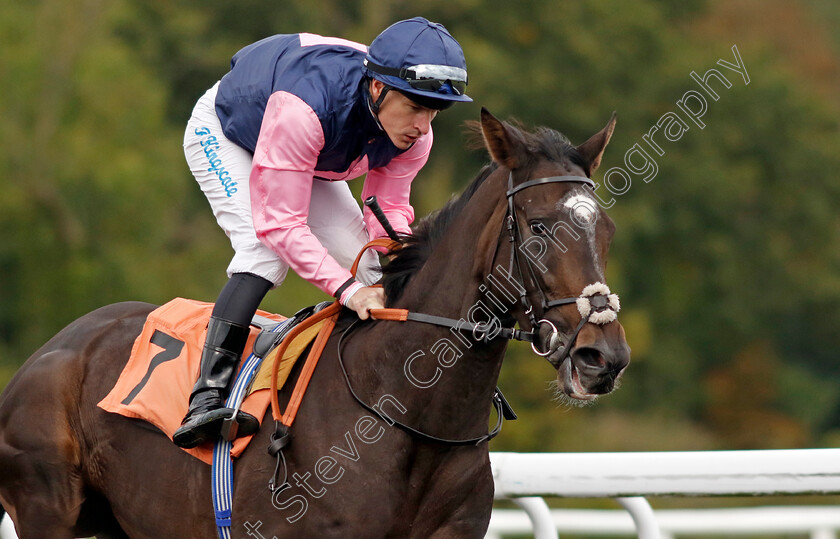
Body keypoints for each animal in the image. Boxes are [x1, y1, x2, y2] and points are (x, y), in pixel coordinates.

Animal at [0, 110, 632, 539]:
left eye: (606, 231)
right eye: (539, 228)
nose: (603, 357)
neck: (411, 413)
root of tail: (56, 347)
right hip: (46, 508)